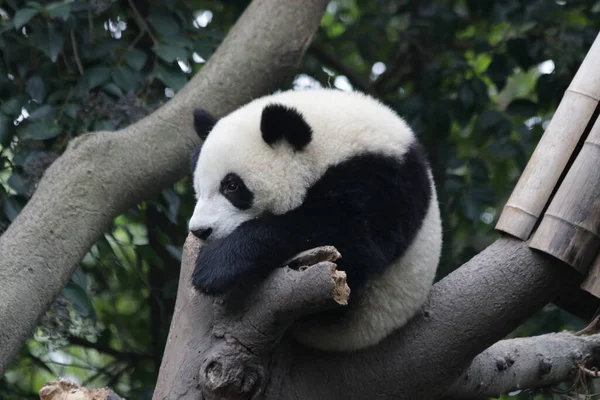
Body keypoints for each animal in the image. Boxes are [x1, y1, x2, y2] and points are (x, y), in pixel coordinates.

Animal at [190, 89, 442, 352]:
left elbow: (347, 237)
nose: (200, 231)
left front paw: (213, 266)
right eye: (198, 188)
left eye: (231, 186)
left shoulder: (380, 181)